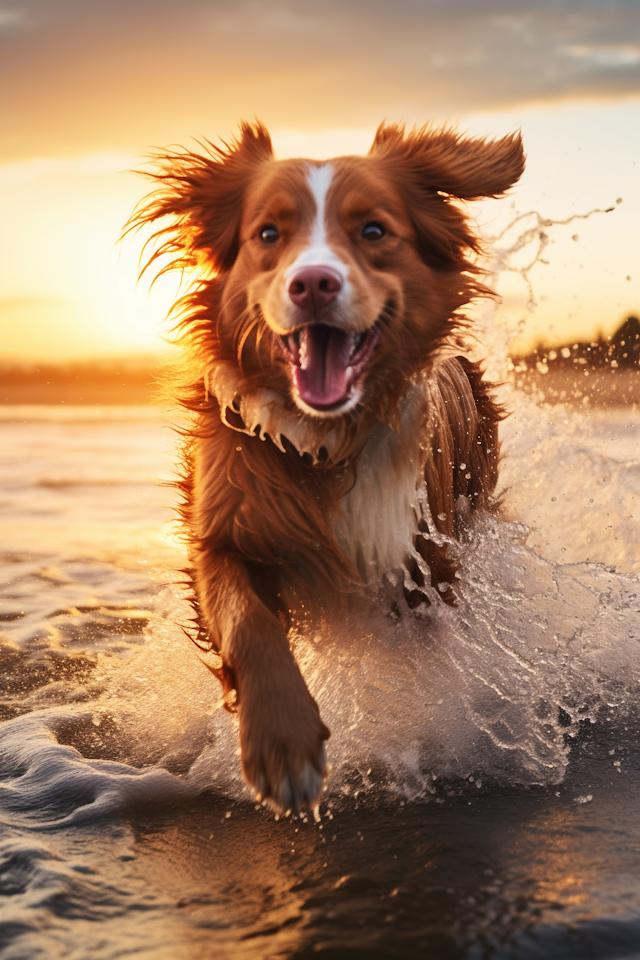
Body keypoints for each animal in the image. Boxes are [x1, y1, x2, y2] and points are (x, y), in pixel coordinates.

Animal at [129, 118, 524, 808]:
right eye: (267, 234)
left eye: (373, 231)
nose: (313, 283)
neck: (326, 442)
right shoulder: (223, 529)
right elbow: (246, 621)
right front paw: (280, 745)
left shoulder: (424, 565)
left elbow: (419, 670)